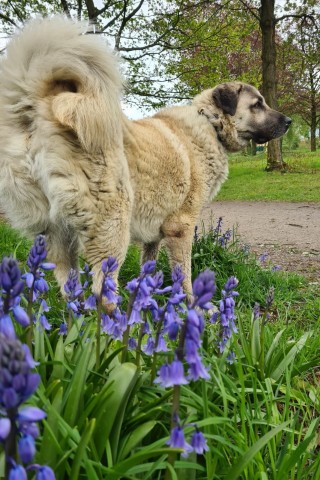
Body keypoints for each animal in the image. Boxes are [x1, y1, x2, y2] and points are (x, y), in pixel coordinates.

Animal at [0, 16, 290, 298]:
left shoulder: (156, 232)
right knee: (101, 292)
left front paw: (146, 296)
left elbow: (147, 267)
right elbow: (184, 276)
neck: (211, 124)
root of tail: (40, 112)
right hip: (112, 227)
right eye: (257, 105)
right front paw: (190, 305)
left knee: (70, 289)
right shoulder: (181, 228)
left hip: (57, 236)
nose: (289, 121)